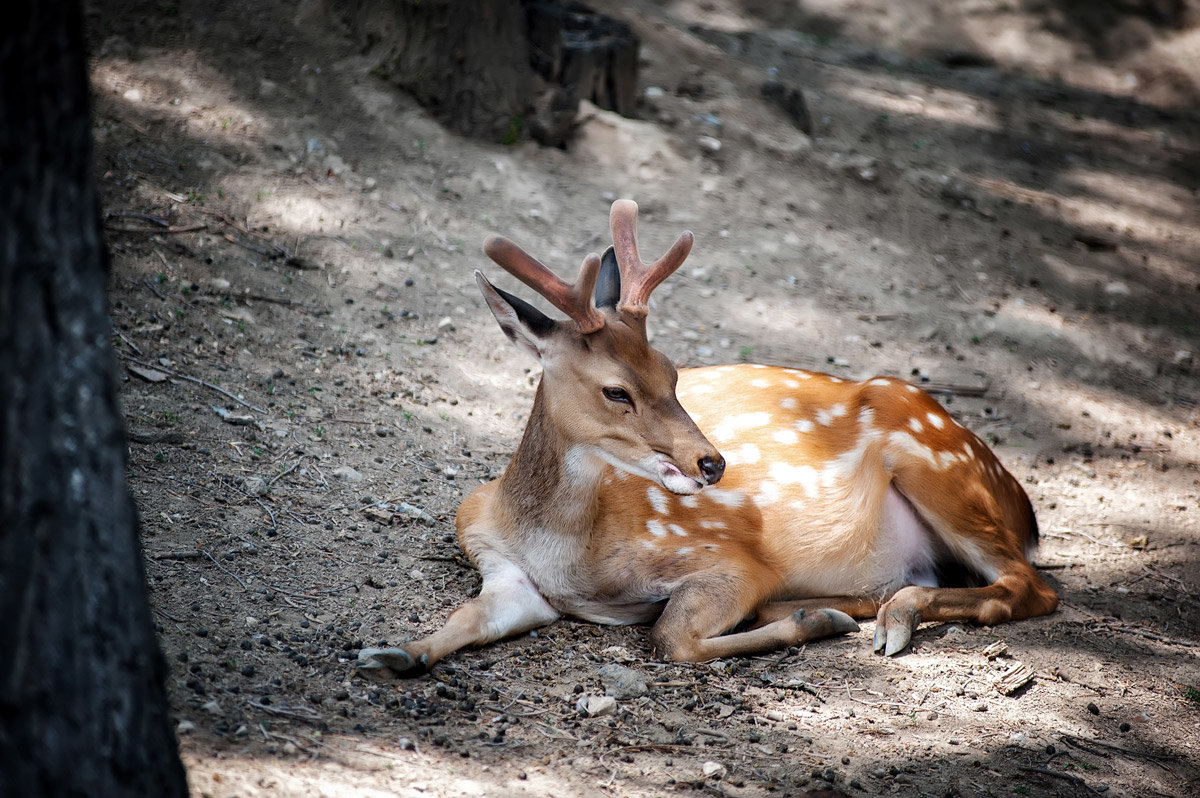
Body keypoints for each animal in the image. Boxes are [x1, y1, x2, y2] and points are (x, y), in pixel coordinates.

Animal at [350, 199, 1056, 676]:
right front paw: (393, 652)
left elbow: (671, 639)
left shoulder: (732, 560)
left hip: (936, 459)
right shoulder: (501, 569)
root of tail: (1020, 501)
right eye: (616, 390)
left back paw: (888, 618)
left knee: (1028, 585)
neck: (567, 560)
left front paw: (810, 624)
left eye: (672, 369)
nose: (712, 462)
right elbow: (466, 617)